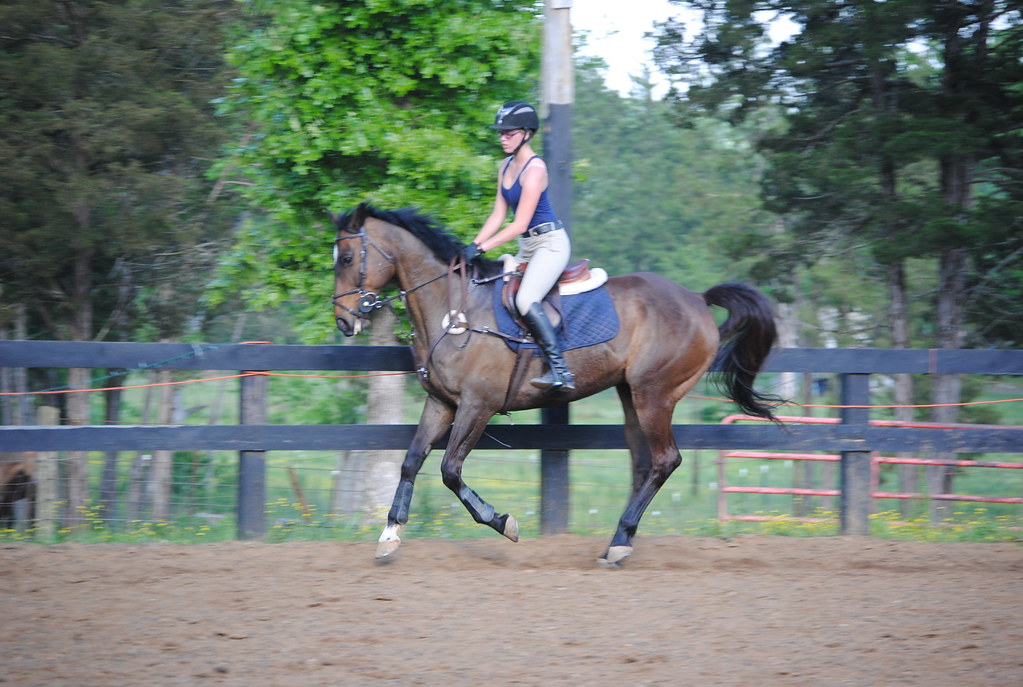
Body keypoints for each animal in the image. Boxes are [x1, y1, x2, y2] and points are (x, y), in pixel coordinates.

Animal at [330, 203, 780, 567]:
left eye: (348, 257)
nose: (343, 321)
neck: (453, 311)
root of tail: (697, 300)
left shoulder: (478, 405)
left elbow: (449, 471)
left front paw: (503, 522)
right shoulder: (441, 403)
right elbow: (411, 461)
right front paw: (389, 535)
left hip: (655, 394)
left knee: (665, 460)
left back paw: (619, 543)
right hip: (631, 395)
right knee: (643, 464)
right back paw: (619, 540)